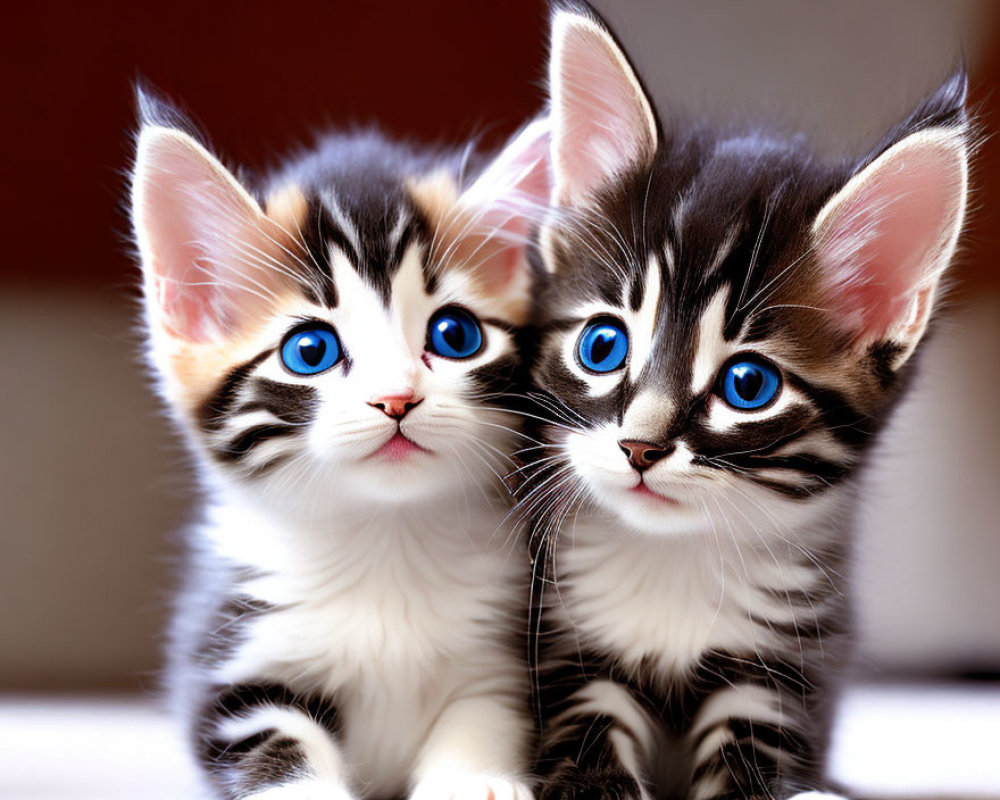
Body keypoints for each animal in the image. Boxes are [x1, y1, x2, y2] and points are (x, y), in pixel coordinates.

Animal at [129, 89, 552, 800]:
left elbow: (483, 715)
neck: (384, 543)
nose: (397, 399)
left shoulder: (505, 654)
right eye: (311, 351)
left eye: (456, 335)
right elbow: (277, 747)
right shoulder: (230, 656)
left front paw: (473, 780)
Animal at [524, 6, 968, 800]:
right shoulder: (566, 650)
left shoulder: (786, 670)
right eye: (602, 346)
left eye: (748, 386)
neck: (673, 563)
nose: (639, 447)